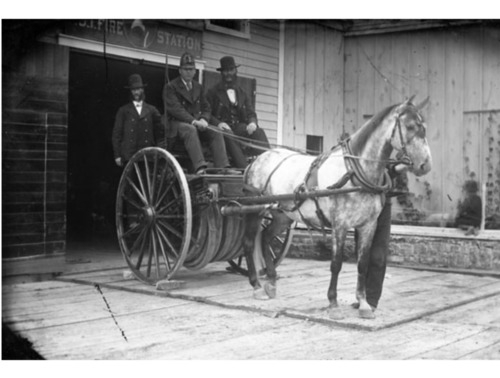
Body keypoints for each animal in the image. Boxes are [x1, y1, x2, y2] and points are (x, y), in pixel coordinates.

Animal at [240, 95, 432, 318]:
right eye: (410, 126)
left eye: (424, 126)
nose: (426, 165)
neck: (353, 172)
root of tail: (256, 160)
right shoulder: (340, 225)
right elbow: (336, 263)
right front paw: (333, 302)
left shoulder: (368, 225)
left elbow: (363, 263)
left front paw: (363, 303)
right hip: (255, 211)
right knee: (248, 243)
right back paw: (256, 286)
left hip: (282, 215)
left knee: (266, 237)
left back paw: (270, 282)